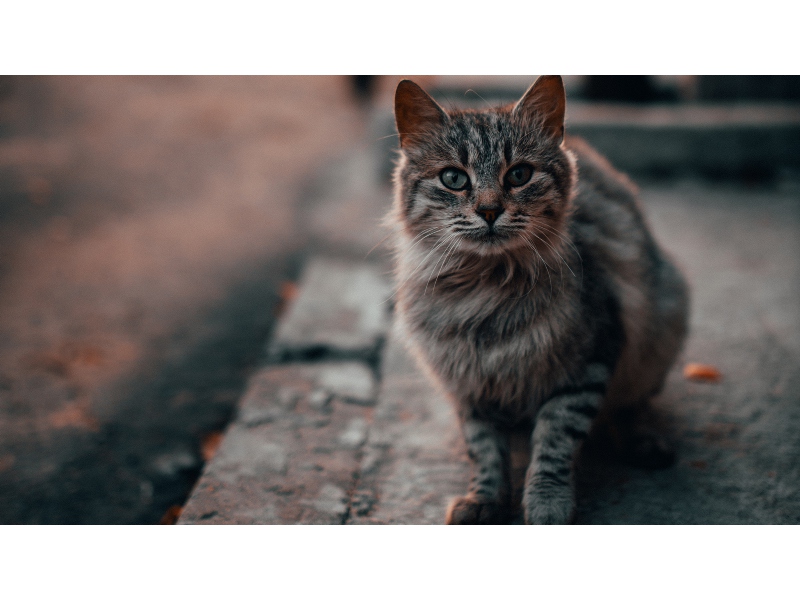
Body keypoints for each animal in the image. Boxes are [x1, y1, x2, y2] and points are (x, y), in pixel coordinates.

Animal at [390, 76, 692, 524]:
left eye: (519, 174)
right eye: (454, 179)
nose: (489, 210)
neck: (485, 290)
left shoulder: (586, 363)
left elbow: (554, 442)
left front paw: (547, 504)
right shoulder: (469, 384)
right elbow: (484, 450)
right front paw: (484, 499)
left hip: (660, 329)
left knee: (629, 408)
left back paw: (644, 443)